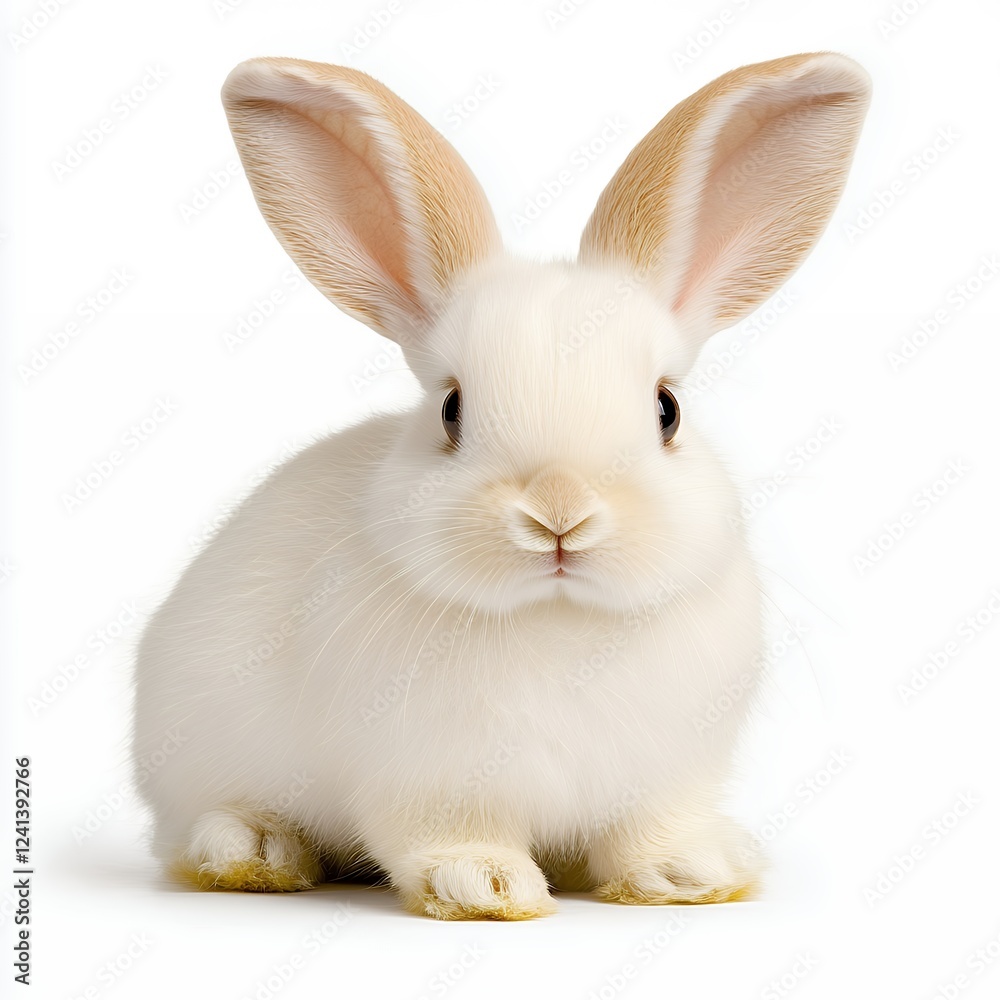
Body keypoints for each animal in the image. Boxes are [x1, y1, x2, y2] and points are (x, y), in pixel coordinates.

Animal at [131, 52, 870, 919]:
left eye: (668, 410)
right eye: (452, 409)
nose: (560, 515)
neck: (556, 621)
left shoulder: (667, 777)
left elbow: (654, 829)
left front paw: (691, 875)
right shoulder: (422, 779)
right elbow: (444, 835)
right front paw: (482, 885)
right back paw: (253, 852)